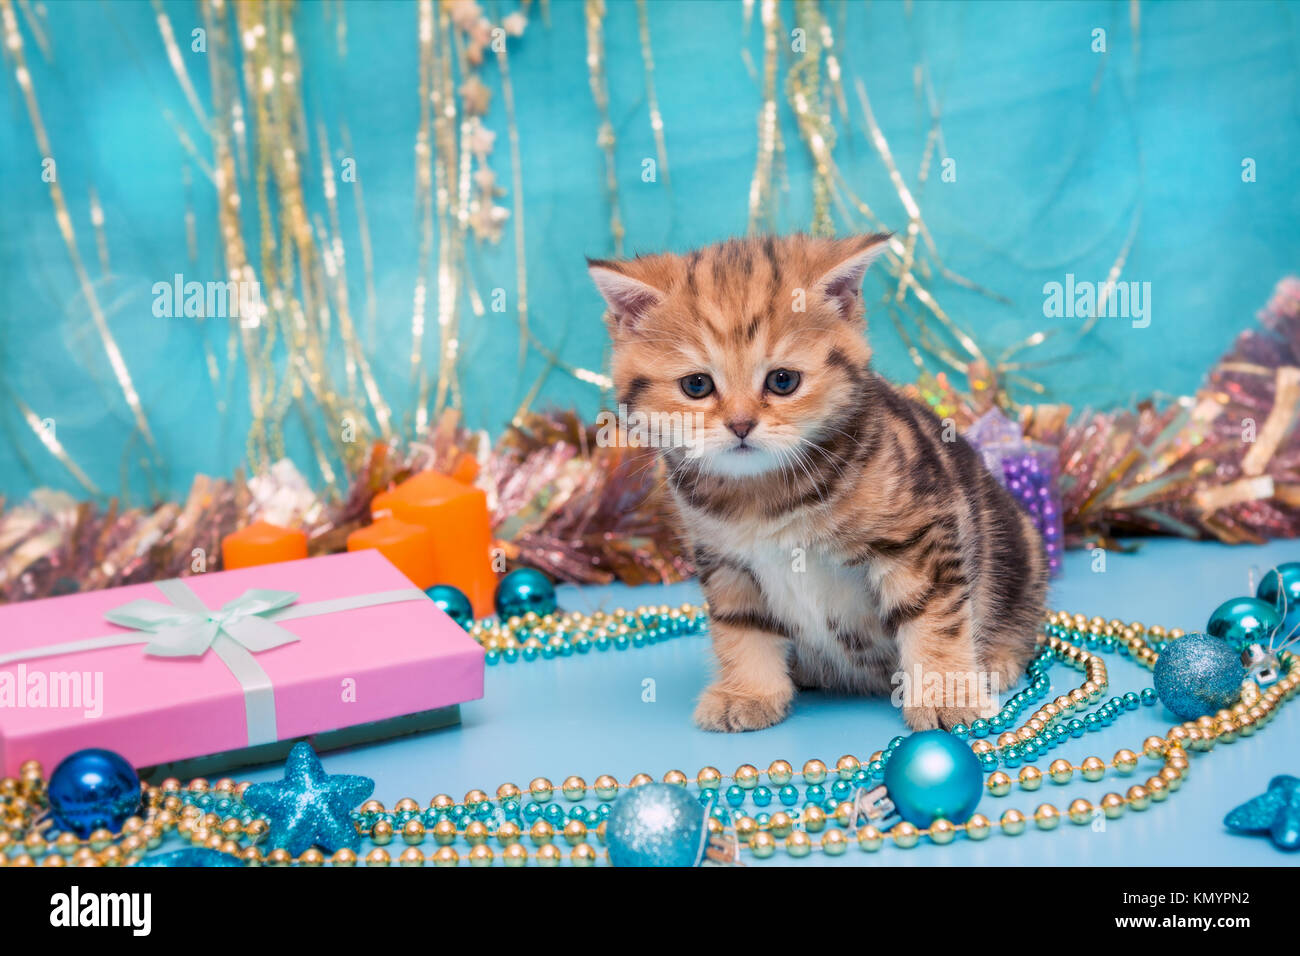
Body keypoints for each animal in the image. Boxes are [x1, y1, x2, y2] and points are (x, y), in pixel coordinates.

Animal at [590, 234, 1045, 733]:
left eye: (782, 380)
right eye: (696, 386)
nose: (740, 424)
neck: (763, 493)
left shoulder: (918, 534)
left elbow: (932, 615)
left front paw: (948, 695)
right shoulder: (724, 560)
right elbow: (741, 626)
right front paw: (748, 692)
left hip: (1017, 547)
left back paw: (996, 659)